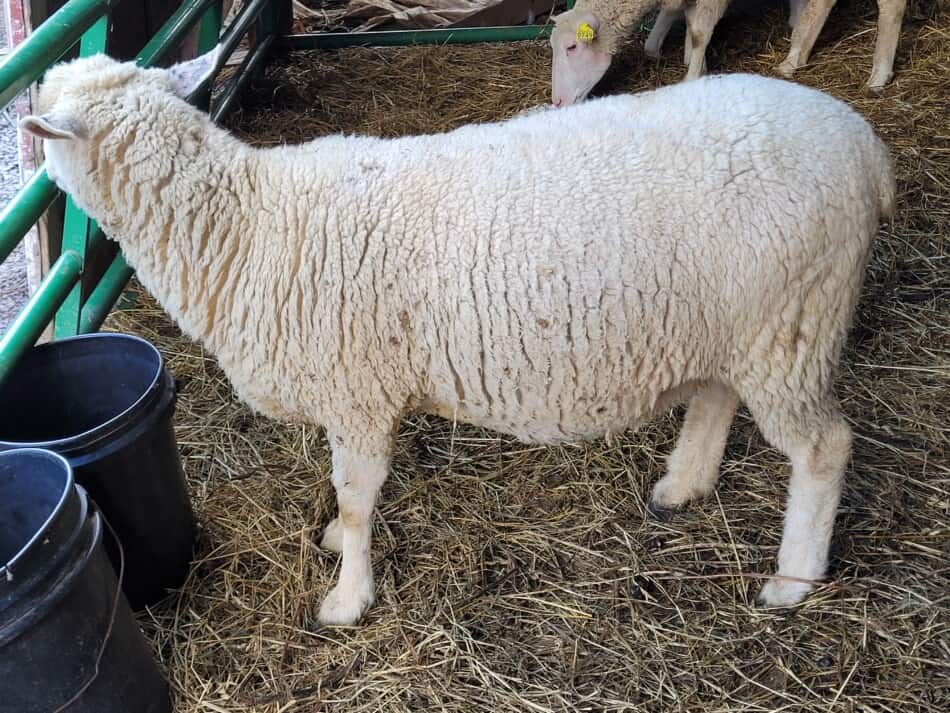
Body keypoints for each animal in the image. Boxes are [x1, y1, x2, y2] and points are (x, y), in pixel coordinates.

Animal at [24, 50, 900, 624]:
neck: (252, 226)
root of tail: (867, 147)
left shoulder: (357, 393)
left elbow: (357, 497)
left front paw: (347, 597)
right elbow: (349, 500)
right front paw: (338, 553)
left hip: (791, 323)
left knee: (824, 448)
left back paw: (792, 580)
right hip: (732, 321)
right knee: (717, 397)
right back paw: (680, 486)